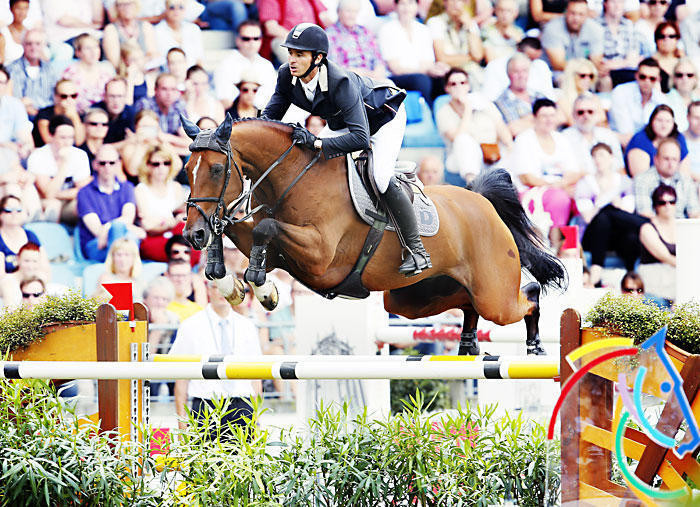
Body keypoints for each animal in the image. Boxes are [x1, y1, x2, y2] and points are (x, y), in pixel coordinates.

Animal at [182, 114, 568, 358]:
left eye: (216, 169)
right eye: (186, 170)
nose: (192, 234)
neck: (294, 178)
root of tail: (482, 201)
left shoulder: (320, 257)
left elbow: (265, 229)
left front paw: (264, 291)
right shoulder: (283, 253)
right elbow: (238, 230)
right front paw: (229, 282)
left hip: (494, 294)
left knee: (527, 296)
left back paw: (534, 346)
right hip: (412, 299)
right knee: (467, 303)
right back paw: (469, 344)